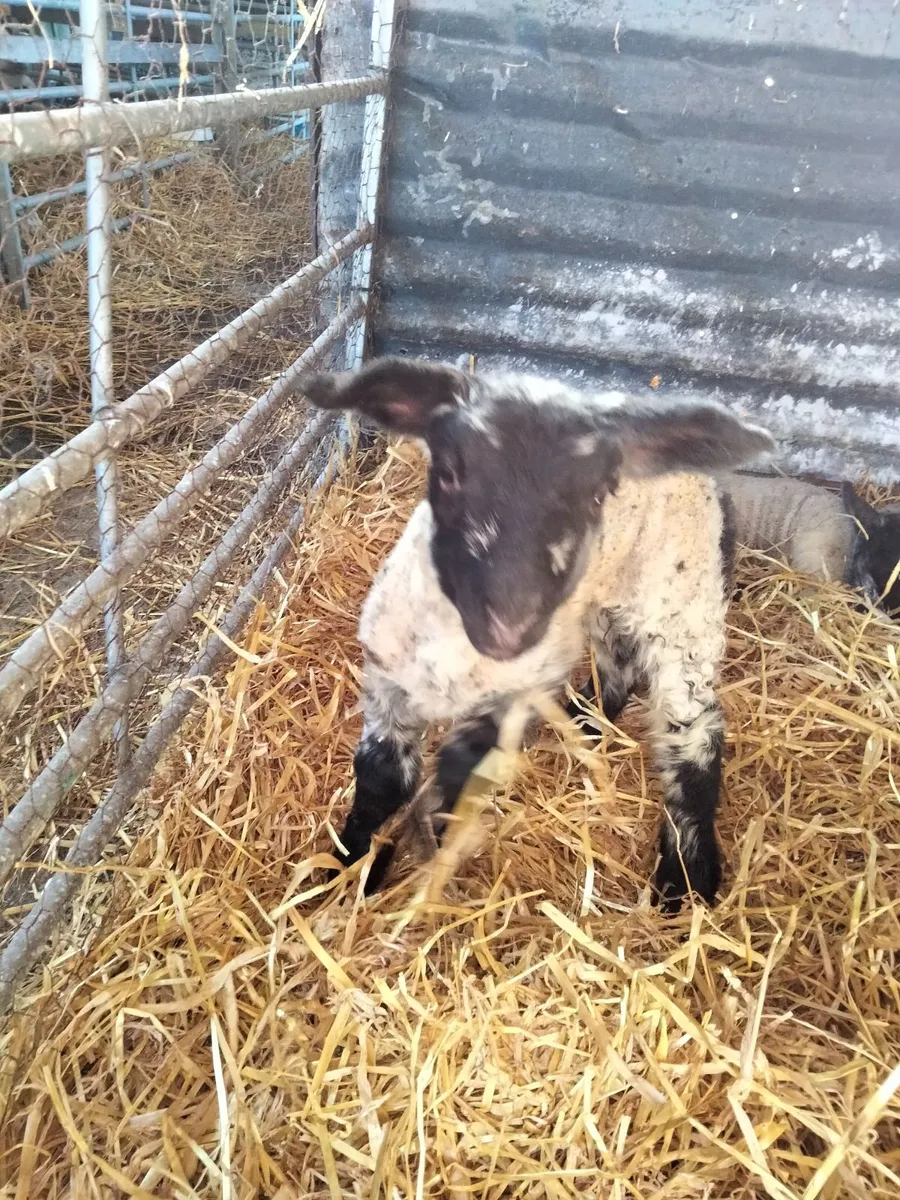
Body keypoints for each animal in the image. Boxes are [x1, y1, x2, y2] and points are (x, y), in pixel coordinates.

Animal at [305, 358, 774, 911]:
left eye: (598, 493)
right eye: (449, 473)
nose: (510, 627)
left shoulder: (515, 695)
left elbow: (459, 772)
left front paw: (425, 839)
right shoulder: (388, 686)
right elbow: (379, 781)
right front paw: (346, 871)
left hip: (684, 606)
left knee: (694, 730)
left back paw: (686, 876)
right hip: (605, 603)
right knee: (617, 665)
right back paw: (584, 723)